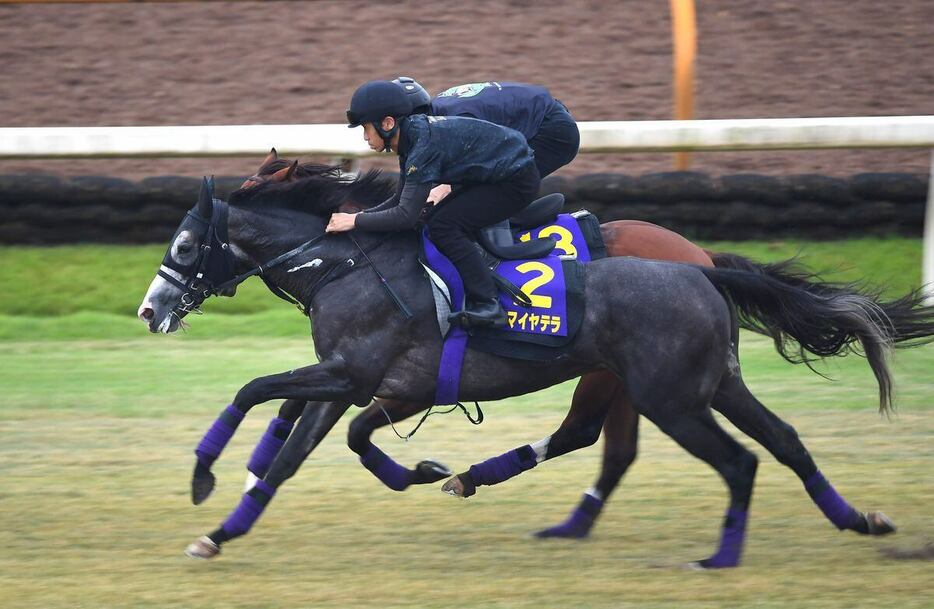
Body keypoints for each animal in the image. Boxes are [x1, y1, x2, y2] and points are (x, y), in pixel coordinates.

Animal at [141, 165, 934, 564]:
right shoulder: (356, 381)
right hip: (703, 385)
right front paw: (225, 528)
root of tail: (703, 267)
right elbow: (300, 450)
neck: (349, 262)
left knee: (704, 455)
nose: (150, 311)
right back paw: (859, 521)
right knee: (782, 442)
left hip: (664, 394)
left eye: (184, 246)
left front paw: (204, 476)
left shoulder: (356, 375)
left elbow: (255, 392)